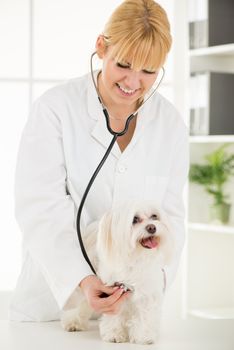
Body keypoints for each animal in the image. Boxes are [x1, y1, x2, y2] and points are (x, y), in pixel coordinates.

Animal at [61, 201, 175, 344]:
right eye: (134, 219)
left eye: (154, 216)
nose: (152, 227)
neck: (136, 258)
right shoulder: (112, 294)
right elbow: (114, 315)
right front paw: (114, 334)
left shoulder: (147, 292)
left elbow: (145, 314)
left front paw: (144, 336)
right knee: (81, 303)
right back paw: (74, 322)